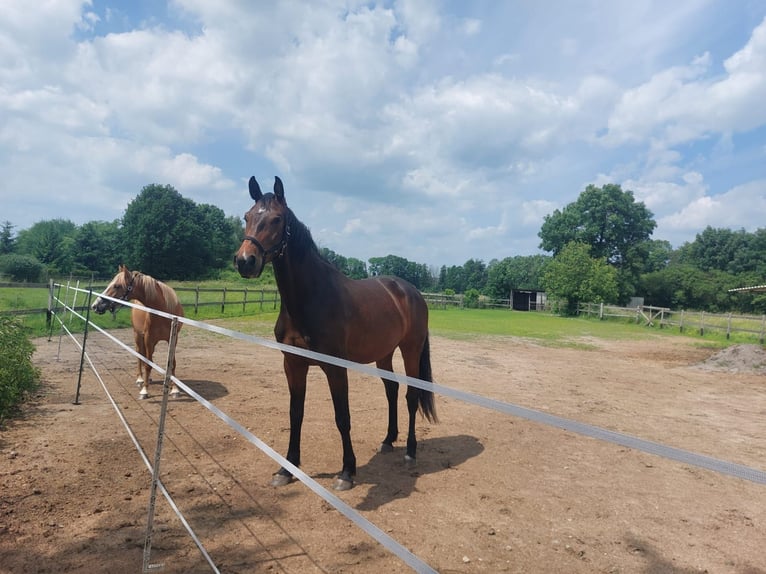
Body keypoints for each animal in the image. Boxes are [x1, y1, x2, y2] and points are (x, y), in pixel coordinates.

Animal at [91, 266, 184, 398]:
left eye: (117, 286)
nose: (95, 305)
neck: (163, 311)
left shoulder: (173, 340)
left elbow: (172, 364)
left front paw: (175, 389)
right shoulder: (149, 339)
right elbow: (147, 364)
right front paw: (144, 390)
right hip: (138, 336)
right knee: (140, 355)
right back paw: (141, 380)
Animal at [234, 176, 438, 490]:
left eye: (277, 219)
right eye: (247, 216)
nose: (245, 260)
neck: (309, 298)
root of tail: (411, 291)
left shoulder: (335, 367)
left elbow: (342, 417)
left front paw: (347, 472)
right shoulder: (293, 364)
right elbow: (296, 413)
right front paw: (287, 468)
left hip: (411, 350)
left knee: (411, 395)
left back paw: (410, 452)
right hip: (384, 353)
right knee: (391, 390)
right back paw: (388, 440)